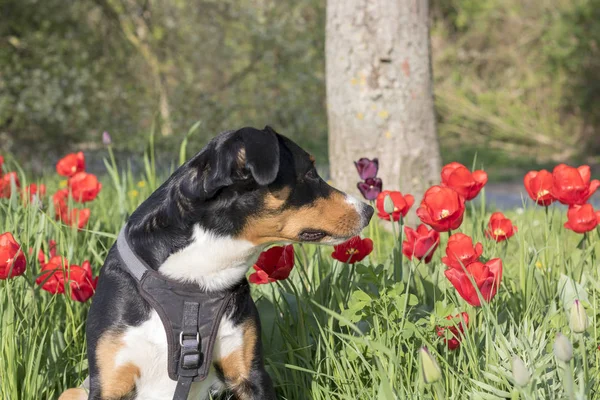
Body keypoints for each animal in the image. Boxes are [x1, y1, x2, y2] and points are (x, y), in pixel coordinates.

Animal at [58, 126, 372, 400]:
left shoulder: (249, 374)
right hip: (73, 392)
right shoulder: (110, 382)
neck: (194, 282)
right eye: (309, 173)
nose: (368, 210)